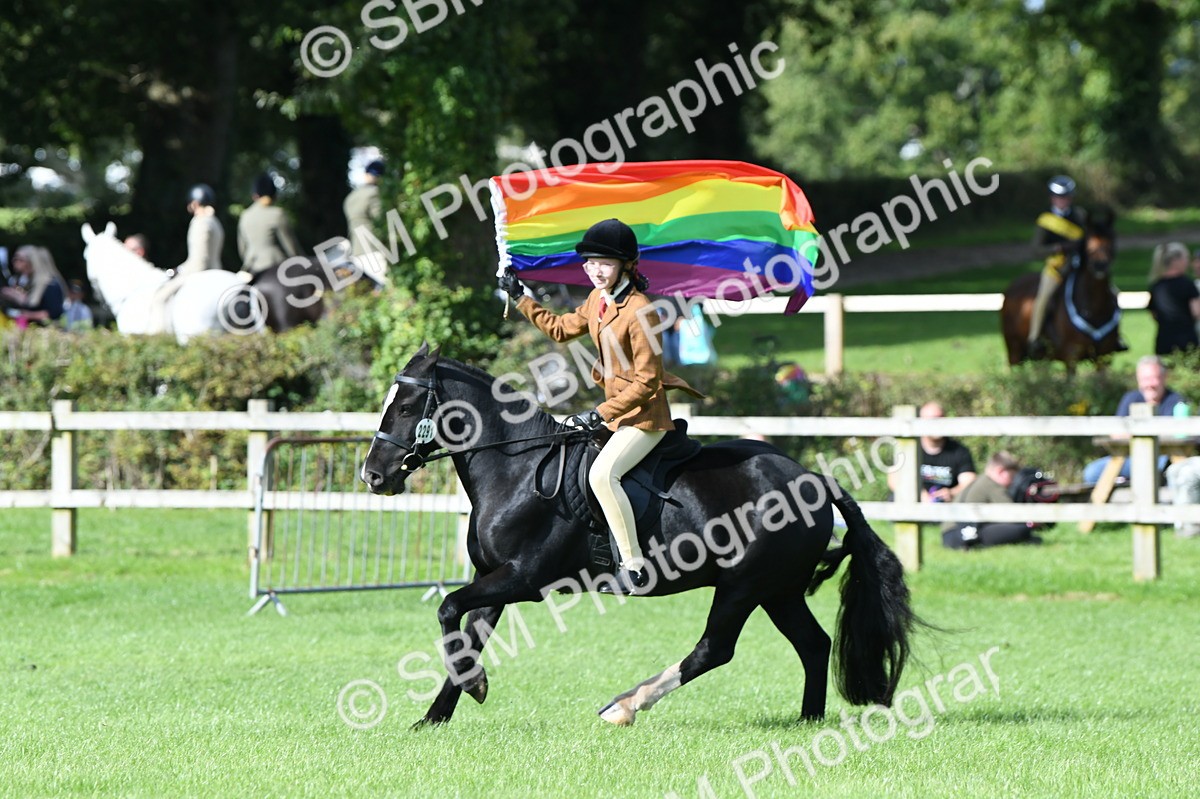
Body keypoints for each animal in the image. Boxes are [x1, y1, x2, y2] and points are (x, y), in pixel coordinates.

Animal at [360, 344, 916, 727]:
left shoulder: (523, 579)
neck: (515, 467)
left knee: (714, 649)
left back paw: (625, 706)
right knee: (813, 645)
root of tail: (813, 479)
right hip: (778, 590)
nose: (372, 476)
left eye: (406, 407)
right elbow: (466, 635)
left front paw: (472, 687)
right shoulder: (494, 578)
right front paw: (436, 716)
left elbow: (448, 607)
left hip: (744, 586)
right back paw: (808, 719)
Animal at [1001, 209, 1121, 371]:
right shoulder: (1071, 357)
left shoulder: (1104, 358)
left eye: (1112, 241)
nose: (1100, 266)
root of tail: (1013, 285)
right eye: (1088, 244)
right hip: (1014, 353)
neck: (1094, 308)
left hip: (1040, 358)